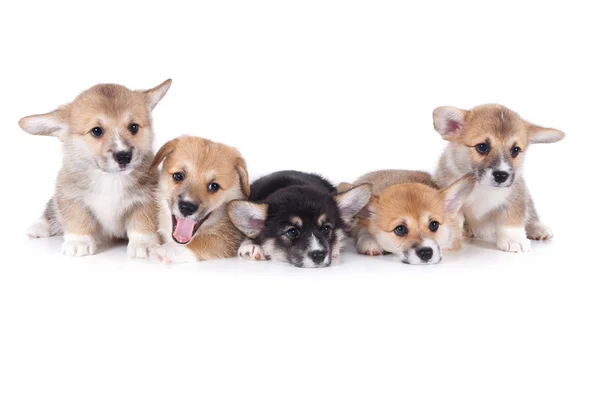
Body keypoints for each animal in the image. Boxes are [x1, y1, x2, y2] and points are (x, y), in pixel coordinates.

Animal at [18, 79, 172, 258]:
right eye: (96, 131)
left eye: (133, 127)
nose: (124, 156)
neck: (109, 179)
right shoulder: (70, 195)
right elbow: (77, 218)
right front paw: (79, 242)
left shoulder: (146, 199)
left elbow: (142, 222)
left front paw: (144, 244)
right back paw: (39, 226)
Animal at [432, 103, 568, 252]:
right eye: (482, 147)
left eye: (515, 150)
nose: (502, 175)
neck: (483, 187)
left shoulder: (515, 196)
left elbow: (512, 219)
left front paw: (514, 240)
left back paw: (539, 229)